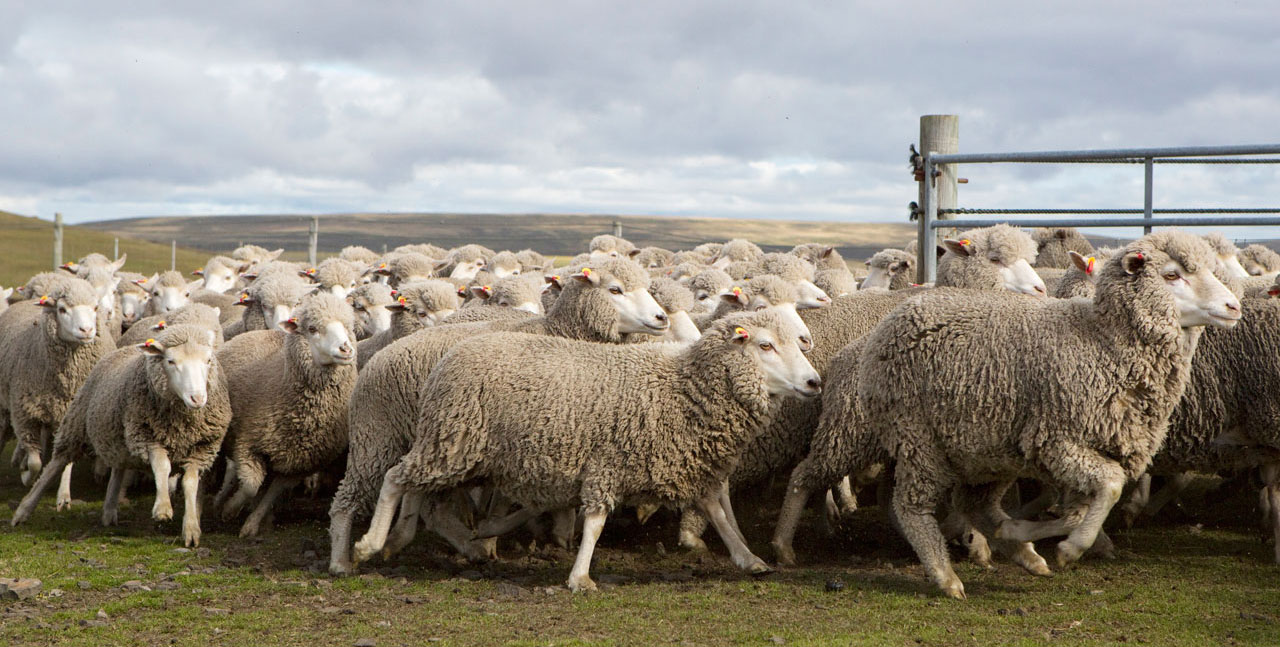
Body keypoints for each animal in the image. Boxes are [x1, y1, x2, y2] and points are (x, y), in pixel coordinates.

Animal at [11, 322, 230, 545]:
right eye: (171, 361)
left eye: (208, 360)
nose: (198, 398)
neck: (182, 424)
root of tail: (125, 347)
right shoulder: (146, 437)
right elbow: (163, 466)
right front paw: (162, 508)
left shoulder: (201, 450)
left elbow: (190, 483)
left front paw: (191, 528)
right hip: (76, 424)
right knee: (56, 464)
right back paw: (23, 510)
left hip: (115, 438)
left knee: (118, 468)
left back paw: (109, 510)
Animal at [213, 292, 355, 535]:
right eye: (312, 328)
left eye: (348, 326)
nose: (345, 349)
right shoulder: (247, 443)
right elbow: (250, 486)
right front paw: (231, 509)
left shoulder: (298, 463)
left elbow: (271, 494)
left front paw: (252, 523)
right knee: (234, 474)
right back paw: (220, 500)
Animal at [350, 308, 819, 589]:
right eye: (765, 345)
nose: (815, 382)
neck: (682, 387)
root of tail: (452, 355)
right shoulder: (607, 461)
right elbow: (594, 522)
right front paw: (580, 577)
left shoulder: (686, 464)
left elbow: (718, 515)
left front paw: (748, 558)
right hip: (453, 441)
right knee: (394, 477)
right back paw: (368, 545)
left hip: (461, 450)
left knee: (420, 490)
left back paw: (446, 538)